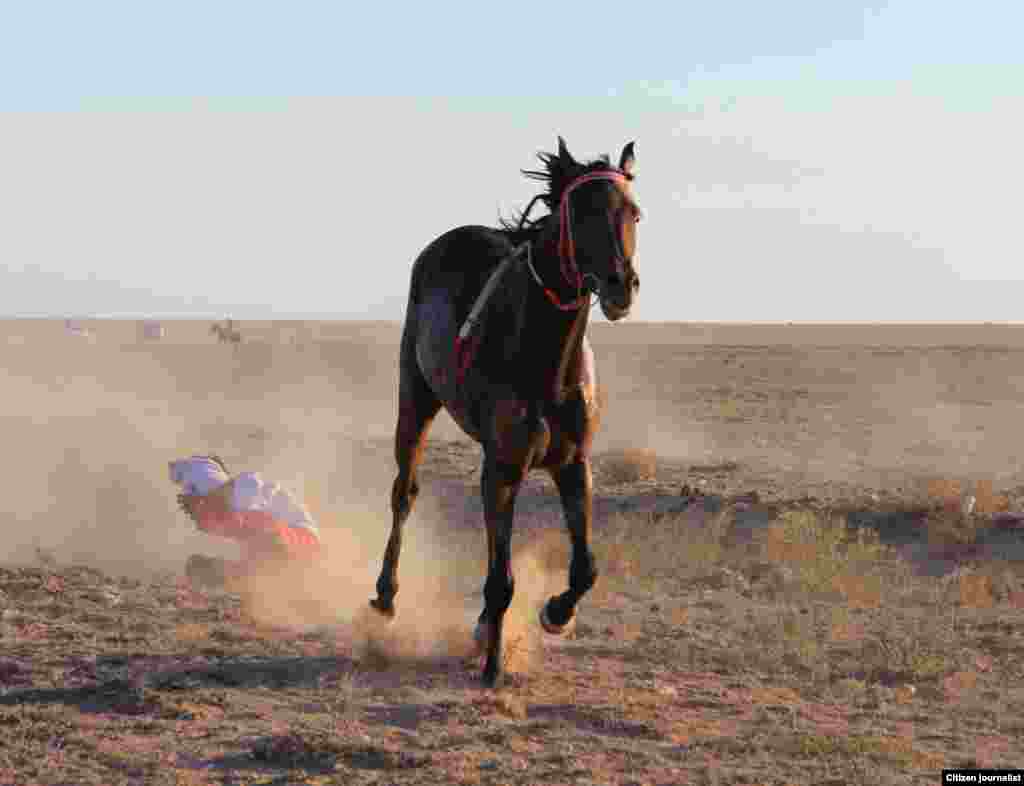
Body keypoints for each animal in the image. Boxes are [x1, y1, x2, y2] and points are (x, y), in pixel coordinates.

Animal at [368, 138, 638, 683]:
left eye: (634, 213)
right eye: (582, 211)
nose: (622, 286)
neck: (545, 360)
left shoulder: (573, 465)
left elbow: (585, 567)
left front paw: (556, 613)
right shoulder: (503, 469)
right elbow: (501, 579)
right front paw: (492, 663)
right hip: (416, 400)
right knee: (404, 493)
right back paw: (386, 594)